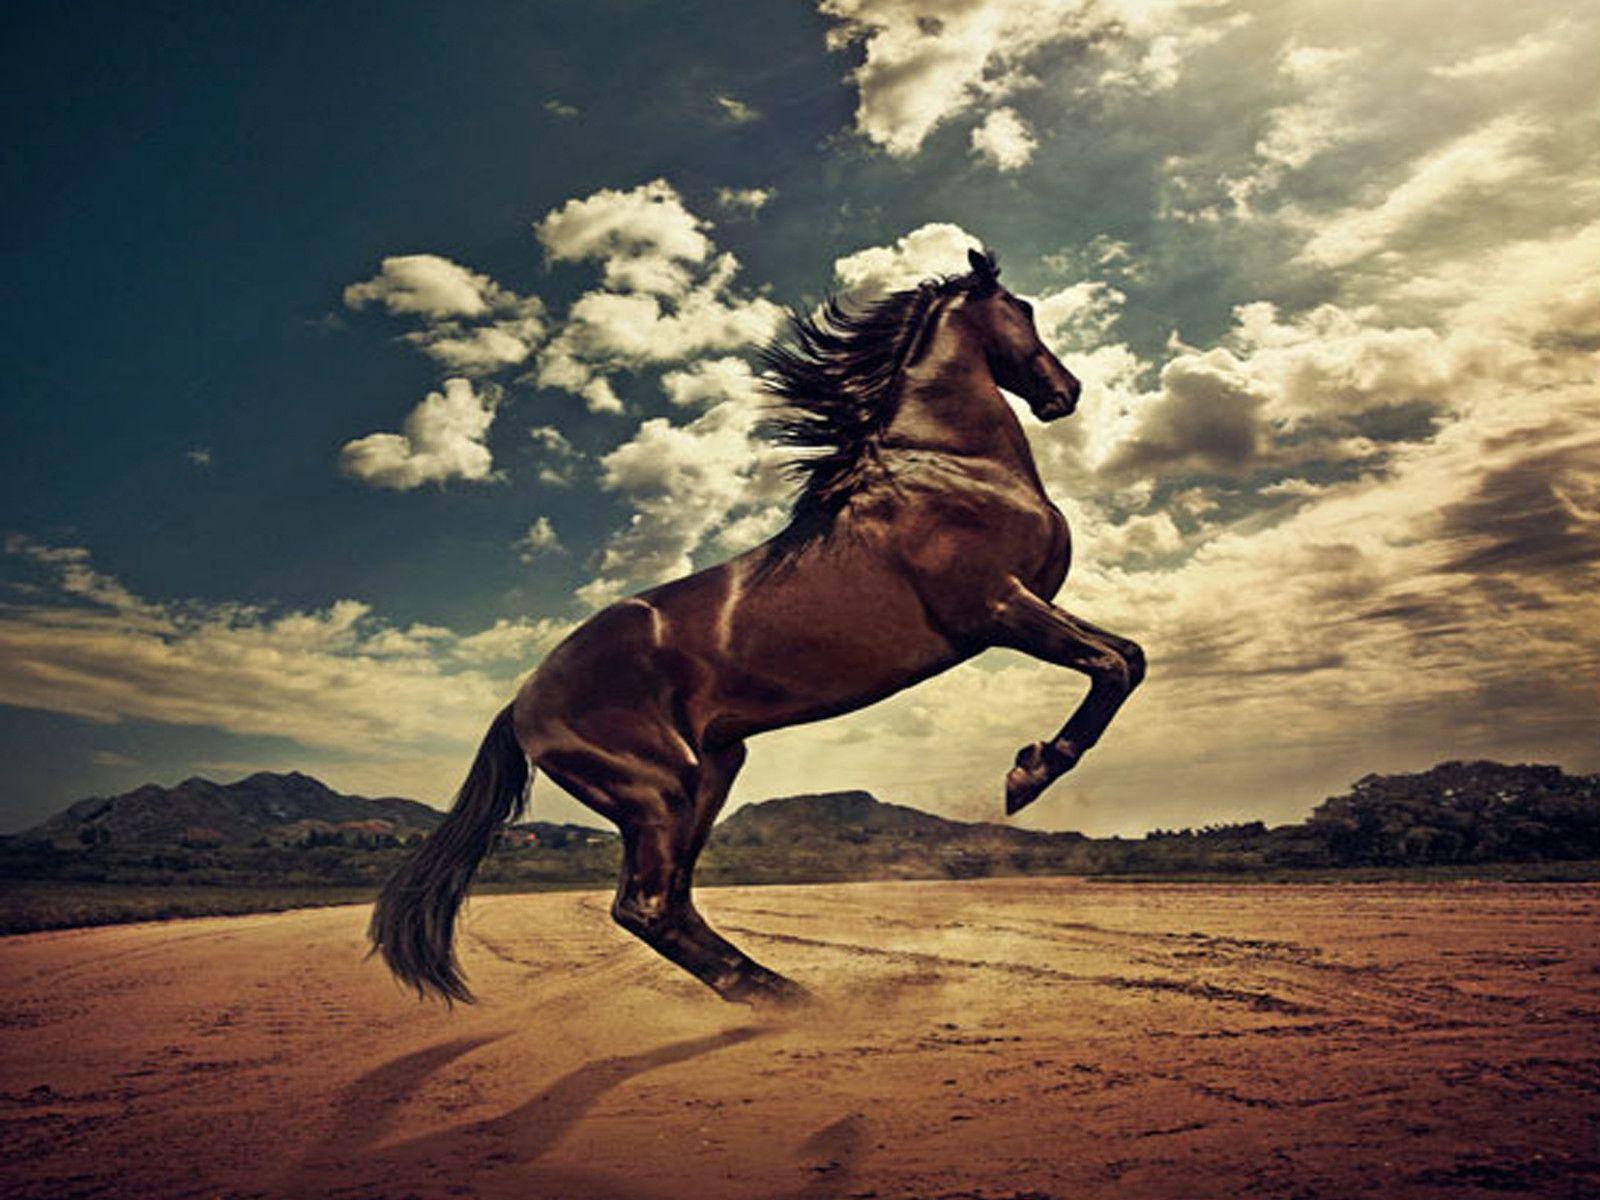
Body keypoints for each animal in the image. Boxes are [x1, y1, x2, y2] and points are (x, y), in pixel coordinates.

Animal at [369, 248, 1145, 1008]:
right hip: (658, 789)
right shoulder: (997, 607)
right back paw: (785, 1000)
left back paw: (783, 994)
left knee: (671, 902)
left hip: (712, 770)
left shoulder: (1018, 607)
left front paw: (1031, 763)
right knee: (646, 906)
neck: (950, 467)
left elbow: (1127, 658)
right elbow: (1114, 665)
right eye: (1024, 309)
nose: (1066, 392)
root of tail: (521, 702)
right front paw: (1029, 773)